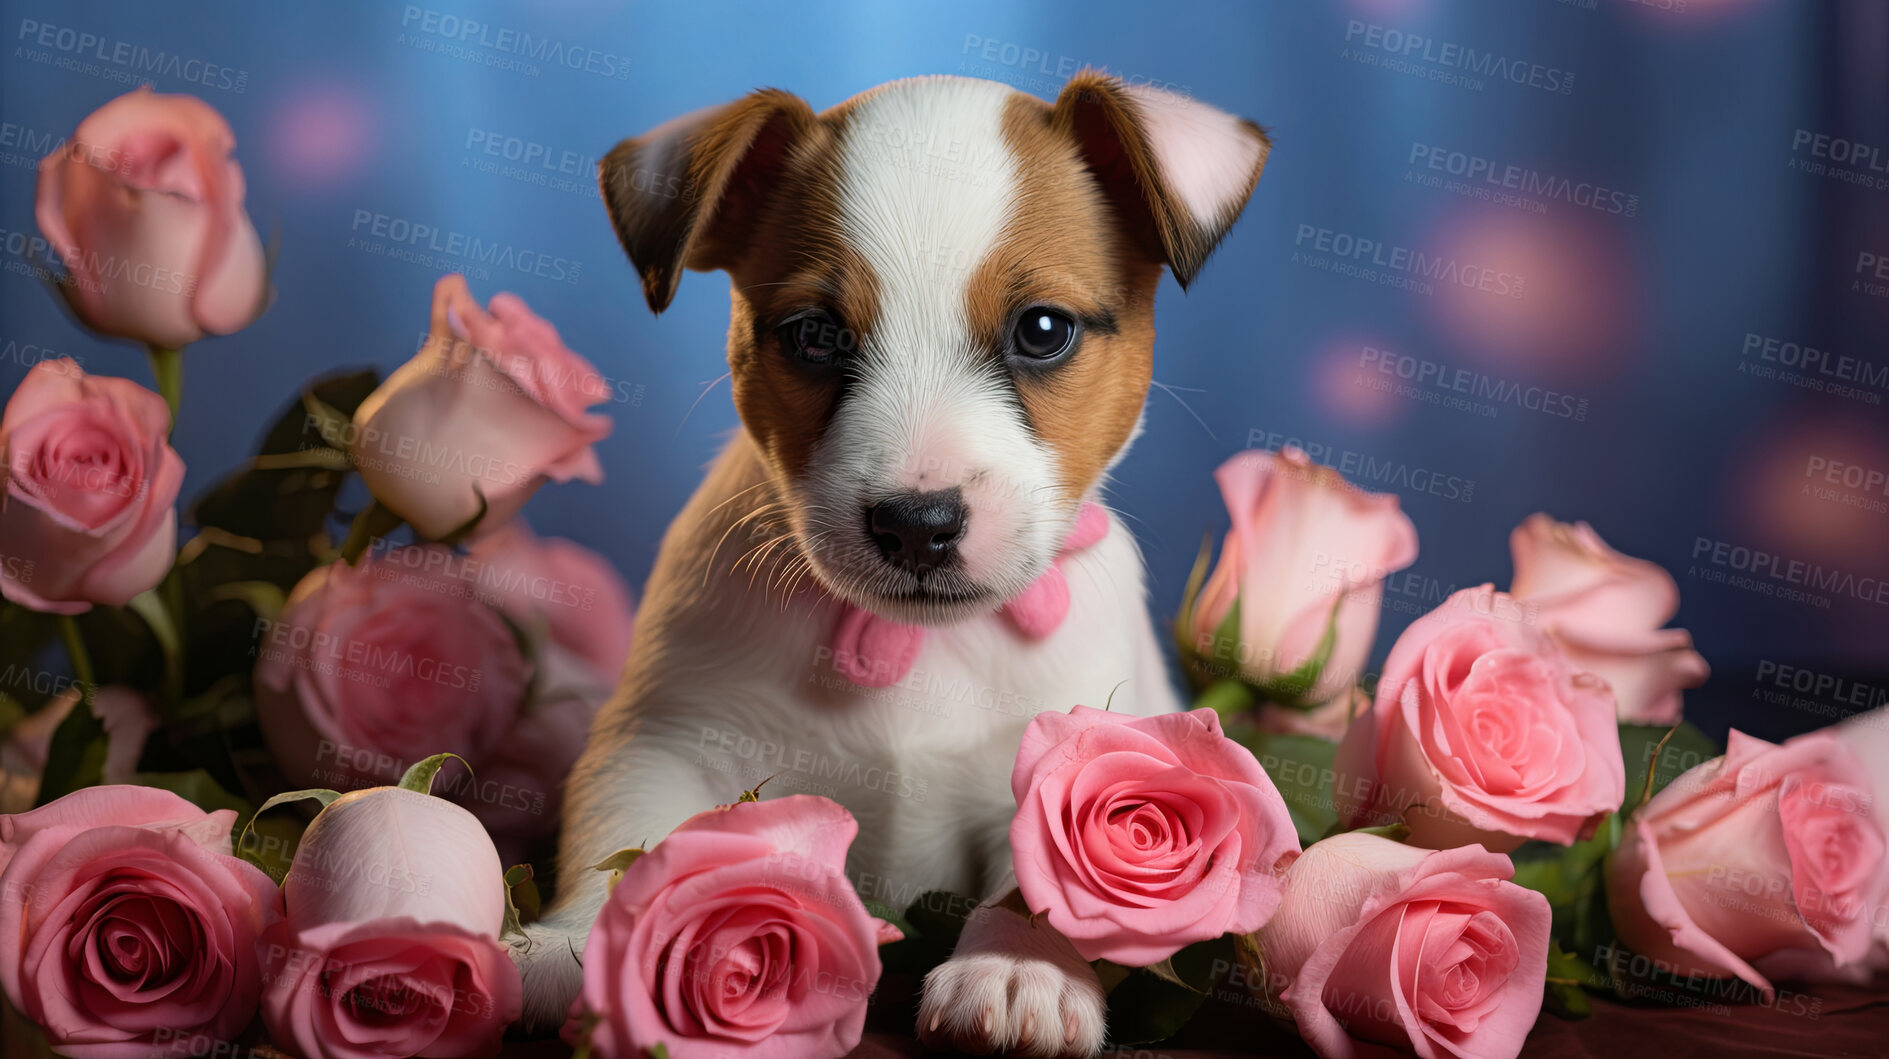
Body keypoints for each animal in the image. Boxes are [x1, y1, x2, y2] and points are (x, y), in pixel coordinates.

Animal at [517, 70, 1269, 1049]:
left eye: (1042, 329)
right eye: (813, 334)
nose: (918, 524)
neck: (911, 645)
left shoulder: (1072, 753)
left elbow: (1049, 876)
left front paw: (1017, 964)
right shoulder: (665, 742)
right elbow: (628, 839)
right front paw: (570, 945)